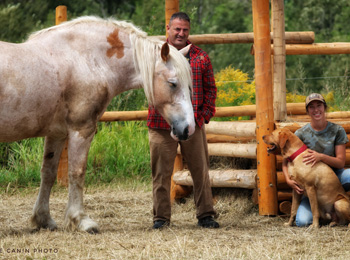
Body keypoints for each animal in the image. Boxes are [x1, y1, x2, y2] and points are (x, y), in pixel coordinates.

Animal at [0, 16, 194, 234]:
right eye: (172, 83)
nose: (188, 128)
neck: (84, 59)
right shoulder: (81, 129)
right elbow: (77, 172)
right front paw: (81, 220)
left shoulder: (56, 134)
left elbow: (48, 173)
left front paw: (43, 219)